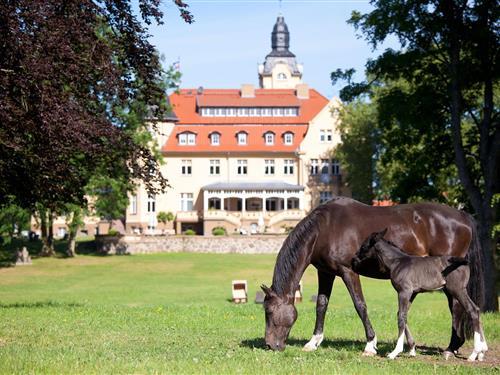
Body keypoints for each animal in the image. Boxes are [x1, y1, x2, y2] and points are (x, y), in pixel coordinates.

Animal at [262, 197, 484, 358]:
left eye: (269, 311)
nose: (270, 345)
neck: (325, 227)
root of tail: (462, 215)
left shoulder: (348, 272)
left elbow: (360, 305)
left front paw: (370, 344)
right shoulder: (325, 273)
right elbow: (321, 305)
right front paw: (313, 342)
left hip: (449, 282)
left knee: (457, 307)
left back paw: (452, 348)